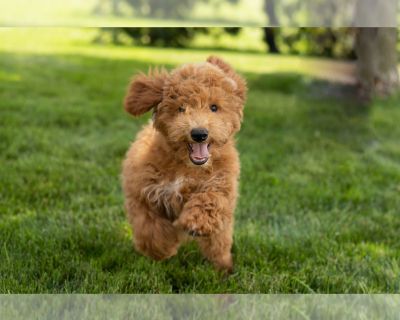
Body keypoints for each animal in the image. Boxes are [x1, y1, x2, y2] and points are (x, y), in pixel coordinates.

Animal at [122, 56, 247, 272]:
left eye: (214, 107)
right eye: (181, 108)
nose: (199, 133)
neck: (186, 167)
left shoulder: (222, 183)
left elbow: (211, 199)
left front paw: (195, 222)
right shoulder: (141, 193)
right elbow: (148, 227)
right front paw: (163, 248)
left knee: (219, 245)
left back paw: (224, 268)